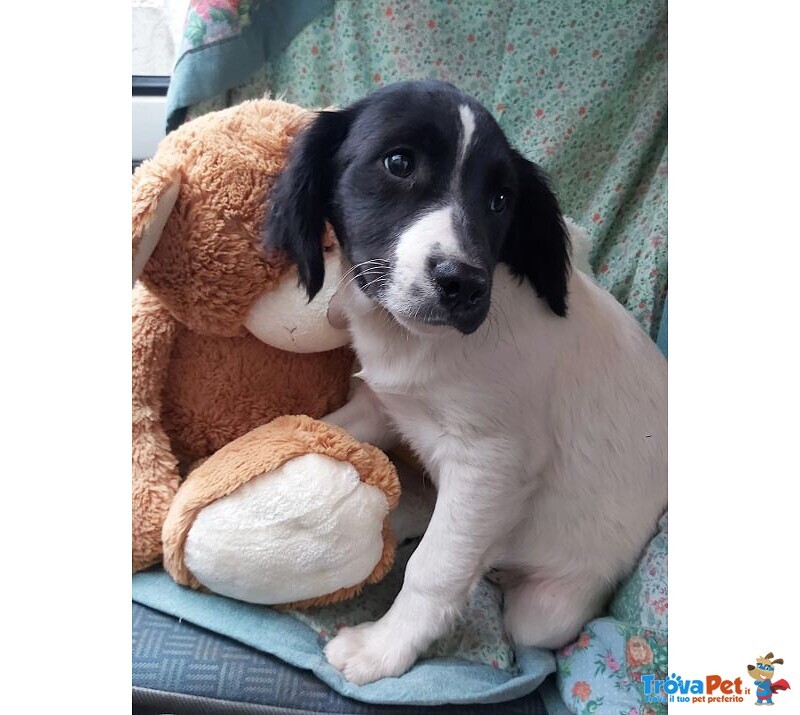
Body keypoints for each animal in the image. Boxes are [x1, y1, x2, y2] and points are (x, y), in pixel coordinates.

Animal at [264, 81, 668, 684]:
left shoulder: (492, 462)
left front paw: (382, 648)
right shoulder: (383, 406)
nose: (464, 285)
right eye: (399, 163)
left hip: (547, 608)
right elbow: (320, 424)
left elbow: (435, 567)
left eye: (500, 200)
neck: (416, 342)